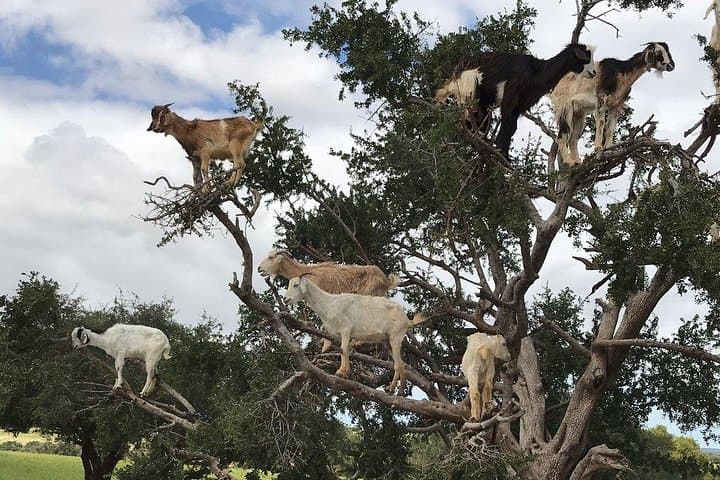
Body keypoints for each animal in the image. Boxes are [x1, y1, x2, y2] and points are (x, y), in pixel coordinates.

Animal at [258, 248, 401, 353]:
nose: (259, 269)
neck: (306, 271)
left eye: (271, 257)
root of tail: (386, 281)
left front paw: (325, 344)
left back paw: (358, 342)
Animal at [283, 276, 425, 394]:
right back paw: (395, 389)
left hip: (396, 336)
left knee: (398, 364)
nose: (285, 299)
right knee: (401, 364)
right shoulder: (340, 334)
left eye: (296, 285)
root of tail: (407, 319)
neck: (329, 304)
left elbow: (344, 350)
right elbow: (343, 350)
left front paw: (341, 372)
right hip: (387, 341)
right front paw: (345, 372)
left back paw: (395, 390)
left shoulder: (346, 329)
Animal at [435, 43, 596, 158]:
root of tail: (455, 72)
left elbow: (512, 128)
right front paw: (502, 155)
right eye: (586, 57)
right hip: (469, 92)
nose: (593, 72)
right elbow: (508, 125)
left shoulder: (521, 104)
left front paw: (503, 154)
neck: (537, 71)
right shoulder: (511, 95)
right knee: (468, 120)